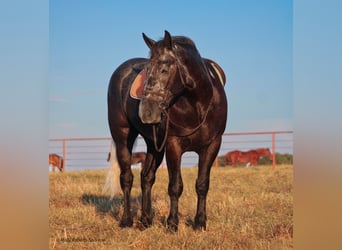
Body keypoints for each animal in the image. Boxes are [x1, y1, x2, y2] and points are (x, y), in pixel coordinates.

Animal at [107, 31, 227, 232]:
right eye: (147, 70)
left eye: (164, 69)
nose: (146, 111)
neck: (197, 105)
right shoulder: (173, 145)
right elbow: (175, 186)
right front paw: (172, 224)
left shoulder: (212, 145)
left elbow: (202, 184)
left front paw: (200, 223)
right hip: (123, 138)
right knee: (127, 178)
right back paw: (126, 220)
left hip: (153, 144)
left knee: (146, 177)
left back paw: (145, 220)